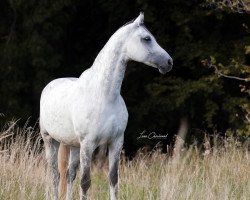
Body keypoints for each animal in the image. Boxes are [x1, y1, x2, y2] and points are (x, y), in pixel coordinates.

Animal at [39, 12, 172, 200]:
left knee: (69, 174)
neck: (104, 96)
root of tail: (50, 86)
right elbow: (85, 182)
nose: (169, 62)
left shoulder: (116, 141)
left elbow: (113, 179)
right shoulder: (88, 144)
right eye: (147, 38)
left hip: (73, 145)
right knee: (55, 175)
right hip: (50, 140)